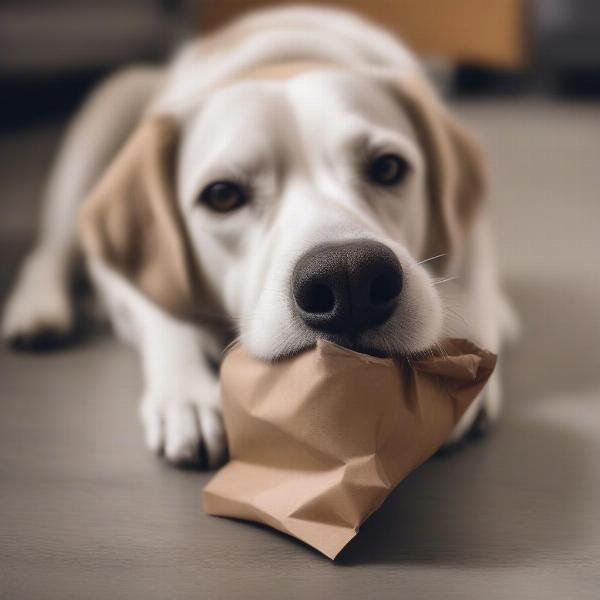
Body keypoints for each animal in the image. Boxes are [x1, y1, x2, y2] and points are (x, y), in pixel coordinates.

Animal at [0, 5, 516, 468]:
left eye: (388, 167)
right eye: (222, 195)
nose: (348, 277)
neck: (286, 57)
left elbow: (470, 286)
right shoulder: (123, 274)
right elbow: (164, 317)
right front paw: (187, 394)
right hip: (110, 104)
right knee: (50, 249)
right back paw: (38, 310)